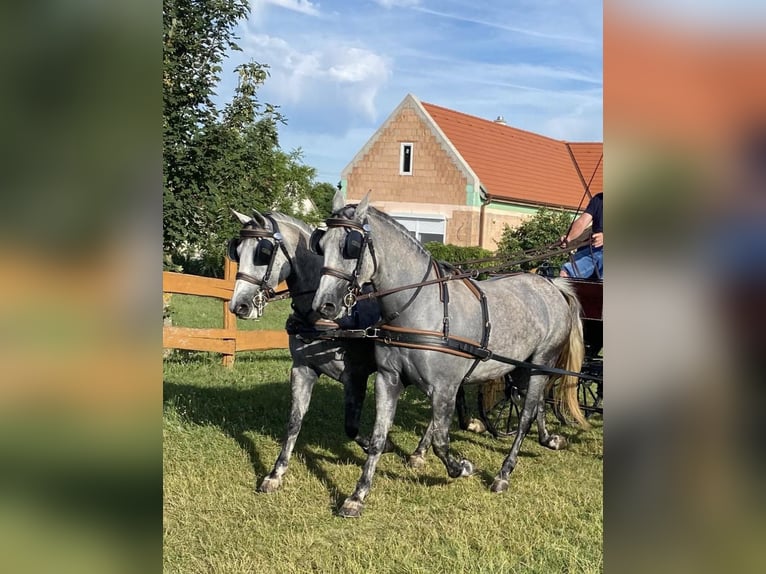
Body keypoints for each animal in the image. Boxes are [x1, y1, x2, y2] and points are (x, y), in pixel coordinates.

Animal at [227, 209, 383, 493]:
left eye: (263, 252)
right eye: (237, 250)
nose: (238, 306)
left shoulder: (356, 376)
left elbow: (351, 426)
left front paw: (370, 445)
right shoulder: (302, 369)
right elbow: (294, 422)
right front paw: (275, 473)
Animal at [311, 192, 588, 517]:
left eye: (351, 246)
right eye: (321, 243)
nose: (324, 305)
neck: (420, 306)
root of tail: (550, 284)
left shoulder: (444, 386)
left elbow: (442, 441)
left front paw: (463, 467)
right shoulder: (389, 380)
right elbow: (379, 438)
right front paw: (357, 496)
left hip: (542, 362)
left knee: (526, 416)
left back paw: (504, 473)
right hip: (523, 367)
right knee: (536, 404)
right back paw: (548, 439)